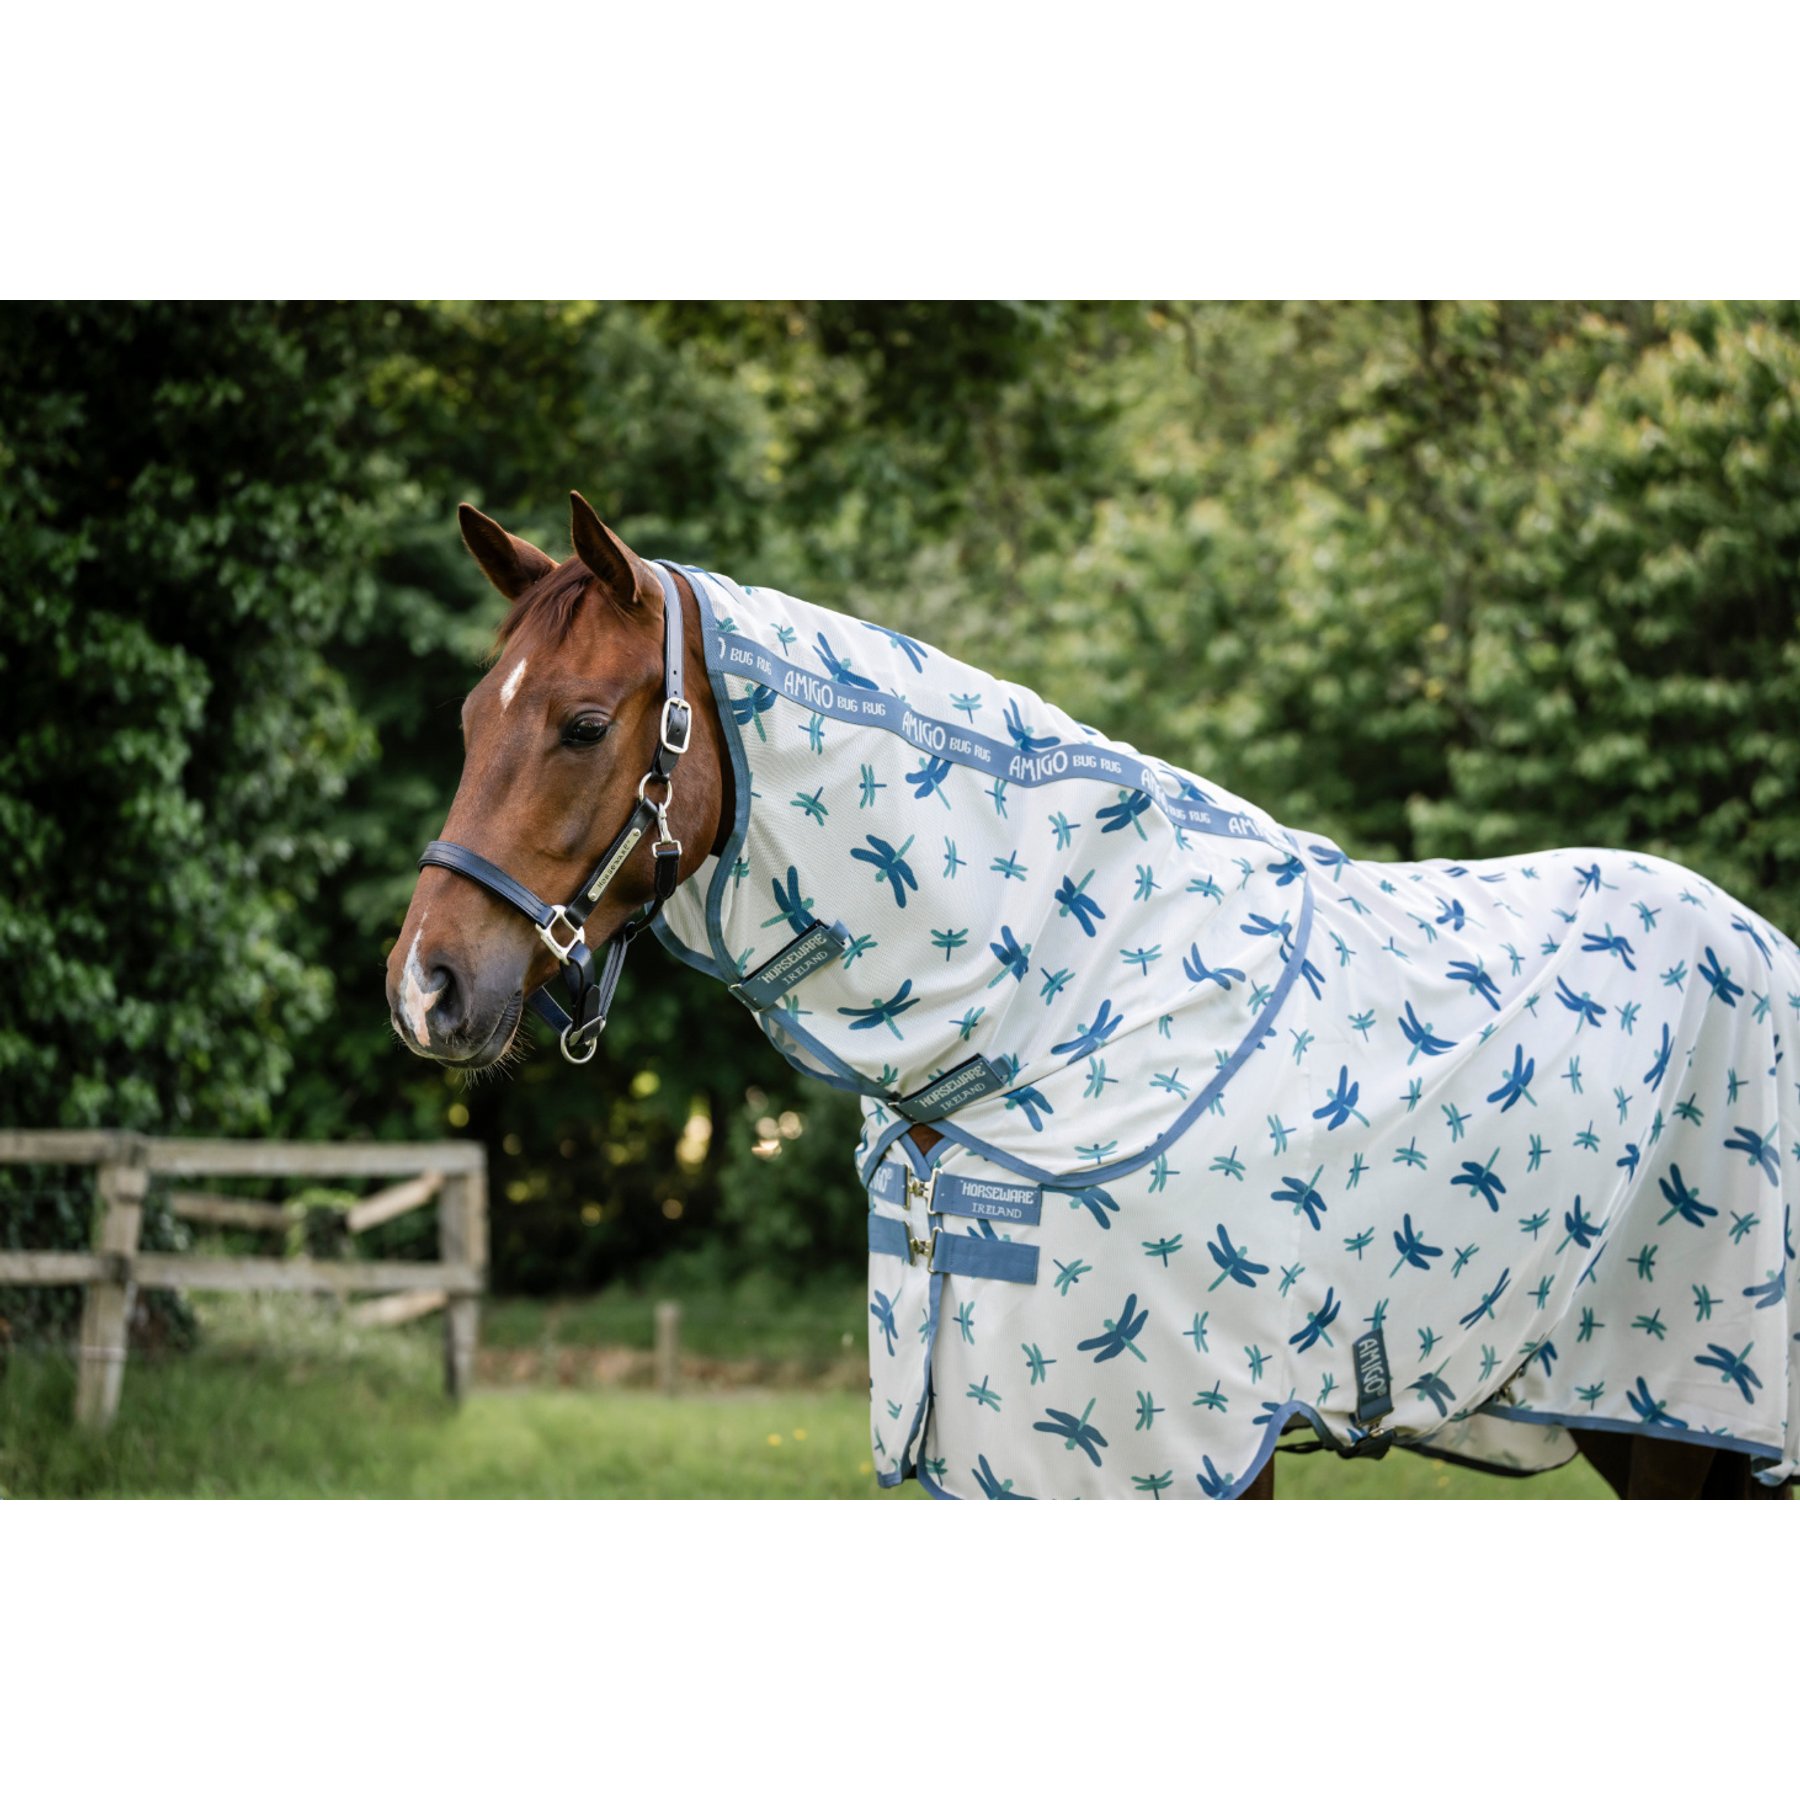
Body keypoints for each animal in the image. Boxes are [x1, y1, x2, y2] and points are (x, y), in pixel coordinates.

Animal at [387, 494, 1797, 1501]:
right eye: (466, 720)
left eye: (581, 725)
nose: (426, 989)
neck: (1067, 1006)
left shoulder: (1185, 1446)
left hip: (1684, 1417)